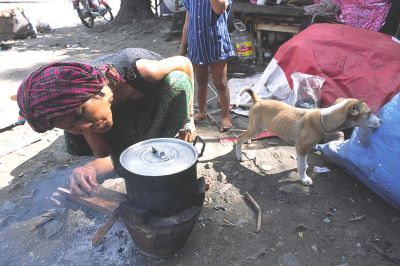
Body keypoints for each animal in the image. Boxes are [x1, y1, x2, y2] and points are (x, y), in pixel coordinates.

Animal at [238, 88, 382, 186]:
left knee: (244, 135)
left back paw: (247, 141)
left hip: (255, 128)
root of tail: (258, 100)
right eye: (369, 113)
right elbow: (301, 166)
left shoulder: (306, 148)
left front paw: (305, 167)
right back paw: (239, 156)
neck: (323, 119)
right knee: (239, 137)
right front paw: (304, 178)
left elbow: (303, 162)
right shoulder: (301, 148)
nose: (381, 121)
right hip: (256, 128)